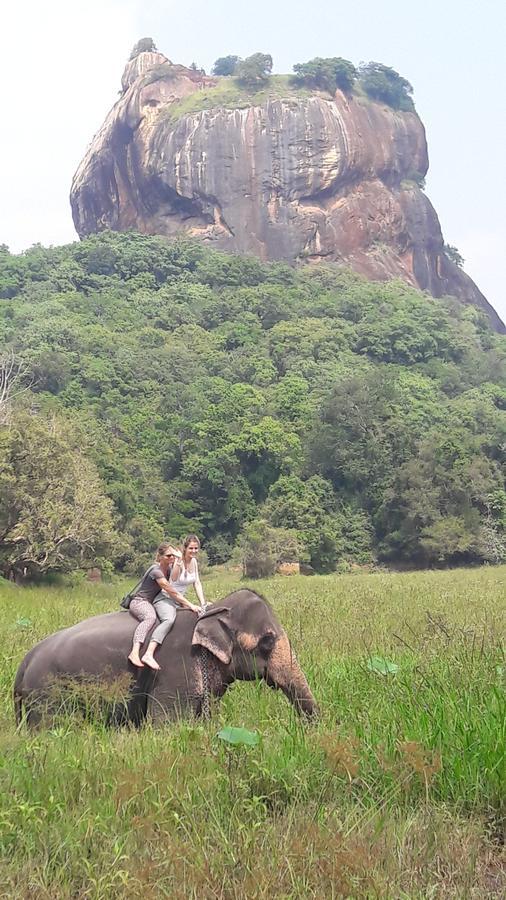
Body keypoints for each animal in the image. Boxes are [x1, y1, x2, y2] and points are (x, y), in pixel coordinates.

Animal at [12, 588, 316, 728]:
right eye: (267, 641)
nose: (305, 730)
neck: (214, 611)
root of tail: (24, 663)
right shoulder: (173, 670)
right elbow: (166, 725)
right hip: (47, 696)